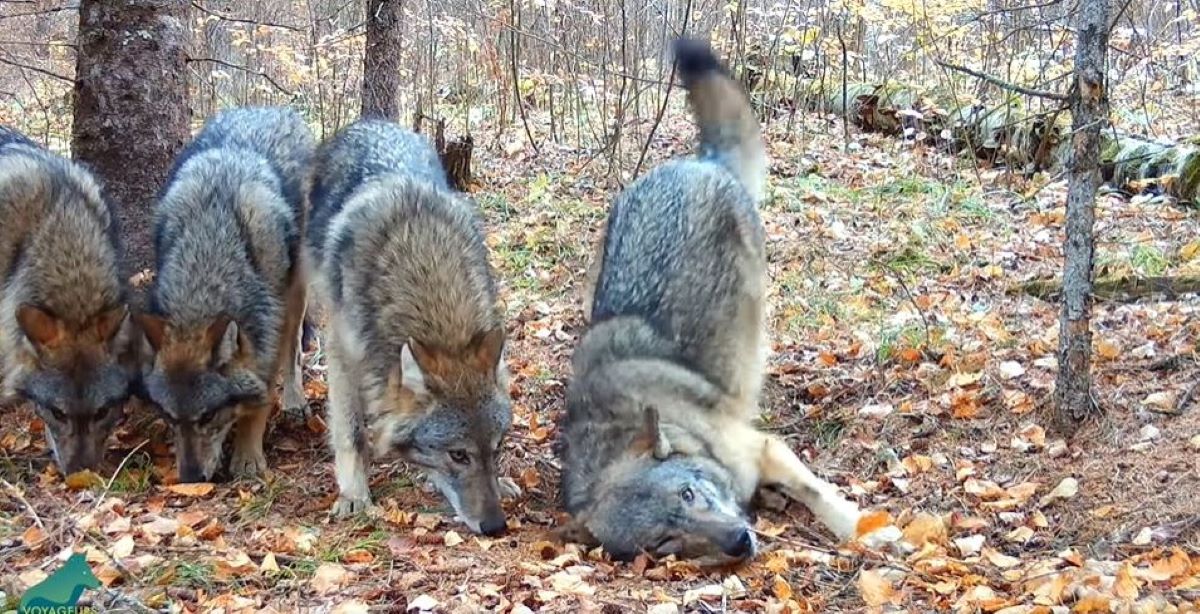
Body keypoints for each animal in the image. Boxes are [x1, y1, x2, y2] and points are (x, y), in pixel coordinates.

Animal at [136, 109, 314, 484]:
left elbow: (259, 401)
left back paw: (294, 402)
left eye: (207, 416)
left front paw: (247, 458)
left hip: (295, 293)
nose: (189, 478)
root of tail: (271, 109)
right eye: (171, 418)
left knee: (294, 349)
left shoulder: (267, 327)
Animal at [561, 40, 864, 563]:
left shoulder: (766, 449)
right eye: (664, 542)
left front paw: (871, 531)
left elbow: (822, 495)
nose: (738, 541)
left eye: (688, 493)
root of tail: (699, 161)